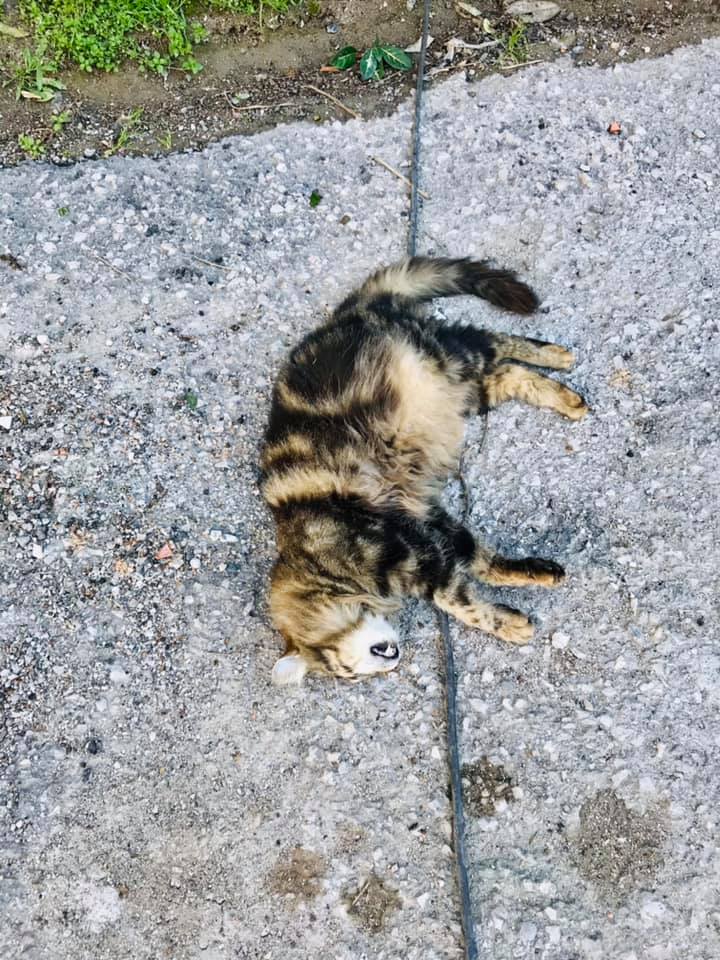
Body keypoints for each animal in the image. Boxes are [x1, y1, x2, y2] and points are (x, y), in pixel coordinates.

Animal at [260, 257, 587, 684]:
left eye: (346, 670)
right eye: (355, 677)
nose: (393, 661)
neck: (315, 560)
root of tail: (345, 314)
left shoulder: (413, 550)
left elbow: (458, 601)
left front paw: (507, 623)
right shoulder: (428, 523)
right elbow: (481, 559)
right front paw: (534, 574)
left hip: (443, 354)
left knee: (496, 341)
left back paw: (559, 363)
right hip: (463, 389)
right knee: (507, 374)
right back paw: (562, 389)